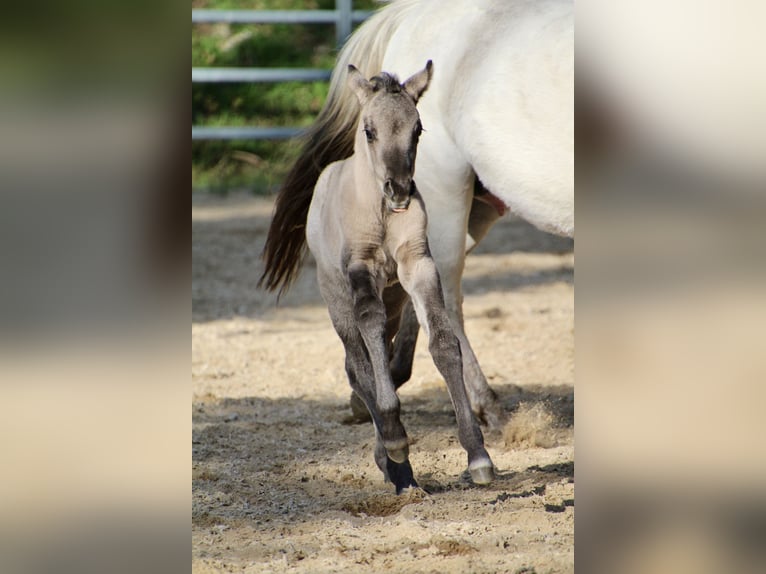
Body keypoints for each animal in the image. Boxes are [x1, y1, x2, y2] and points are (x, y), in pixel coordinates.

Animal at [260, 0, 574, 429]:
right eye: (369, 131)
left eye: (417, 130)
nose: (397, 189)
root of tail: (408, 13)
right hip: (448, 191)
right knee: (446, 299)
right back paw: (482, 404)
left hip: (473, 206)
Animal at [306, 62, 495, 492]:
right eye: (369, 130)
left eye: (418, 129)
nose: (400, 191)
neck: (379, 212)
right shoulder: (361, 270)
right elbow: (370, 333)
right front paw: (395, 439)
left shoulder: (418, 264)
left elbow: (443, 343)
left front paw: (478, 455)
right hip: (336, 299)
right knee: (358, 365)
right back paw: (394, 459)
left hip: (394, 298)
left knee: (378, 354)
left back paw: (397, 468)